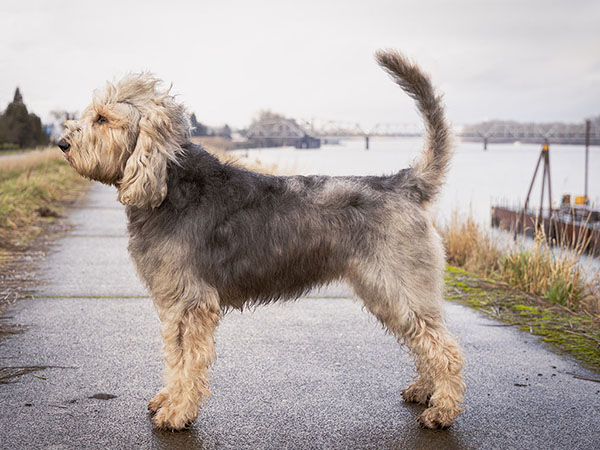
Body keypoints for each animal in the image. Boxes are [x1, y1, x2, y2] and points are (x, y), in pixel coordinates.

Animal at [58, 51, 464, 430]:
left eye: (102, 119)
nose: (62, 143)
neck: (170, 186)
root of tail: (404, 183)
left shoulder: (190, 303)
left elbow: (188, 360)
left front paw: (178, 412)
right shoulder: (173, 303)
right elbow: (174, 357)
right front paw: (168, 399)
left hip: (399, 287)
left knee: (445, 348)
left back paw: (442, 410)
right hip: (386, 293)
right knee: (424, 340)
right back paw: (424, 391)